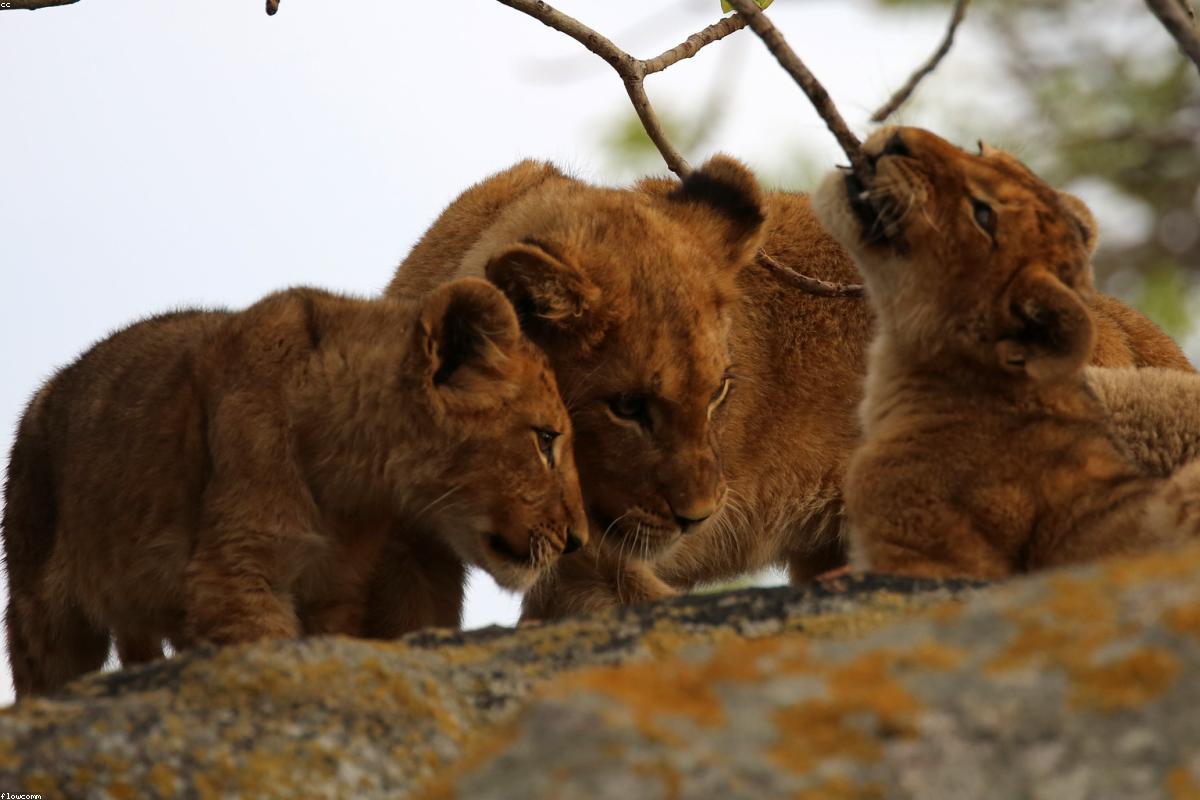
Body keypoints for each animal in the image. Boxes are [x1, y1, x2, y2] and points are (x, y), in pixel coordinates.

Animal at [3, 278, 586, 697]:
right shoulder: (234, 577)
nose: (577, 541)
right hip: (43, 613)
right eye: (545, 439)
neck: (350, 479)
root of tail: (44, 395)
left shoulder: (334, 591)